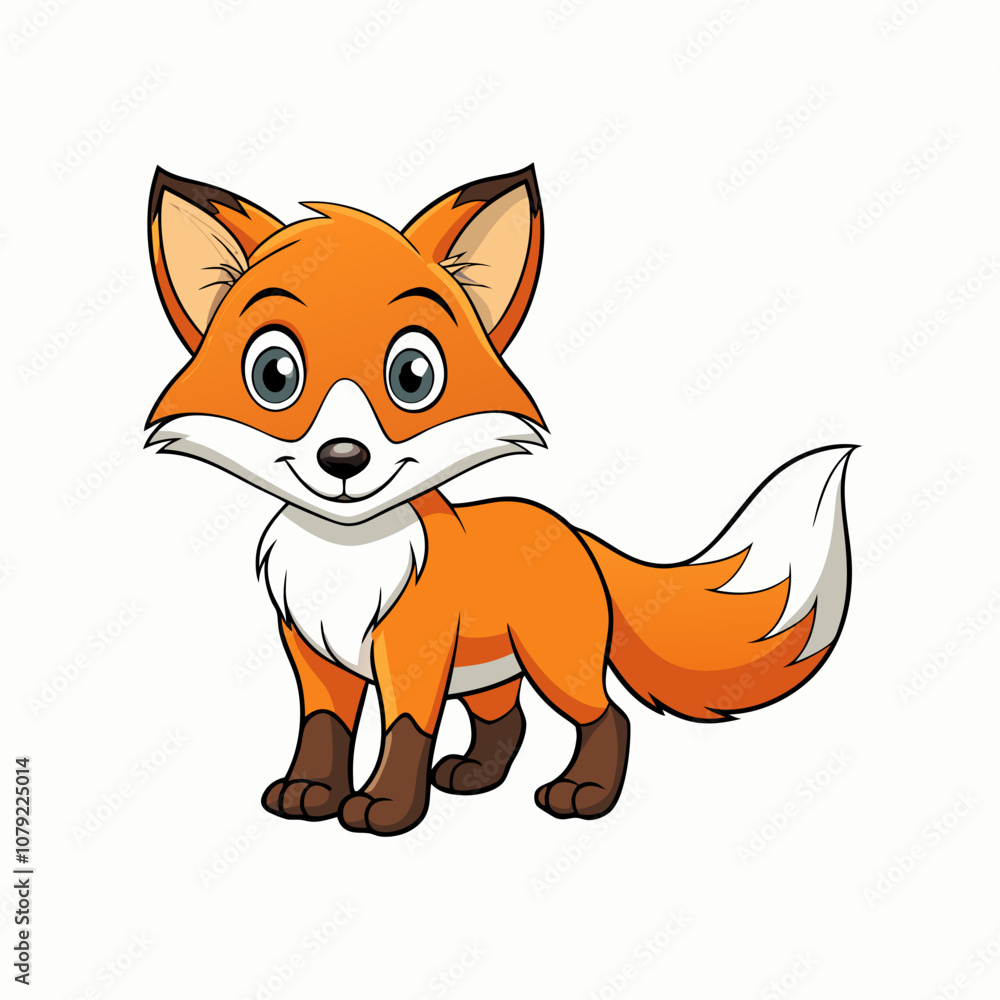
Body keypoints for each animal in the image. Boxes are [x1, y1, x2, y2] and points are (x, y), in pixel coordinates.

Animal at [145, 164, 854, 836]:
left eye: (413, 376)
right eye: (275, 375)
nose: (343, 458)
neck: (346, 555)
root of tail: (572, 532)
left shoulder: (412, 650)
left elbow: (404, 730)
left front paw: (385, 807)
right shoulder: (312, 651)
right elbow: (323, 730)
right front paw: (310, 792)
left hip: (554, 663)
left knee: (608, 717)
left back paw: (583, 794)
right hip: (493, 670)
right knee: (506, 721)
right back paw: (474, 775)